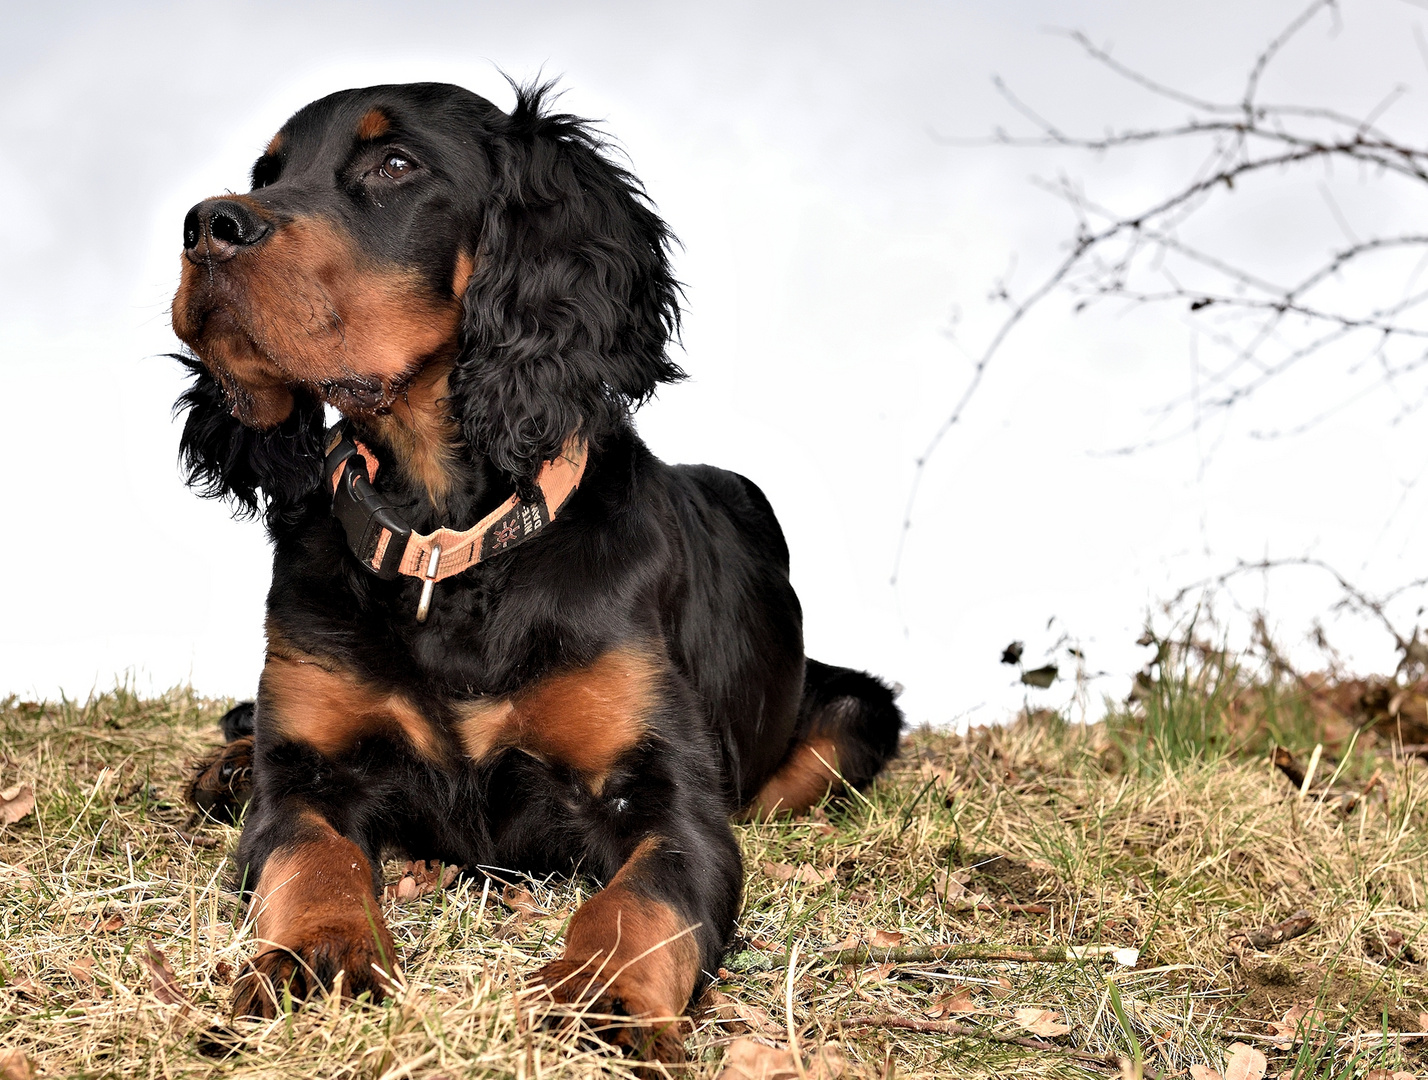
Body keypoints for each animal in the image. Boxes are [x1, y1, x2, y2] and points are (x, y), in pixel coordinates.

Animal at [169, 80, 902, 1057]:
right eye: (266, 174)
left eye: (394, 164)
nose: (206, 224)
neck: (447, 541)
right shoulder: (308, 777)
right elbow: (312, 855)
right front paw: (316, 957)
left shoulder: (667, 801)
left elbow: (638, 902)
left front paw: (605, 999)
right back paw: (229, 768)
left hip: (855, 718)